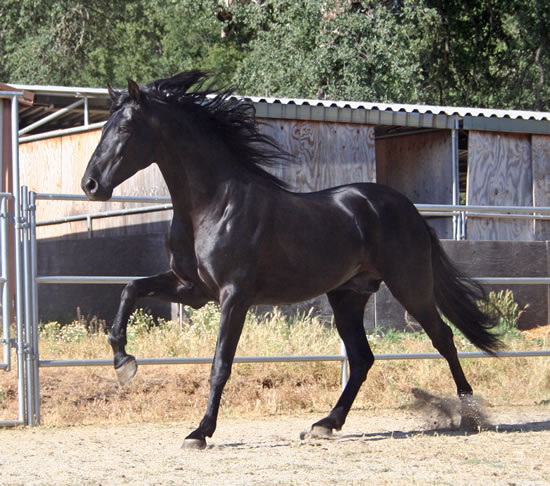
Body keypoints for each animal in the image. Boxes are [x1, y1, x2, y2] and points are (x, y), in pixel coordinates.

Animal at [83, 70, 504, 450]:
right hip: (348, 296)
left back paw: (469, 416)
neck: (214, 205)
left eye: (125, 128)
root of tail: (409, 210)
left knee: (444, 339)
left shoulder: (234, 297)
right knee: (362, 359)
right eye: (104, 127)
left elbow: (220, 365)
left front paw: (200, 432)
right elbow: (130, 289)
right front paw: (123, 363)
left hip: (409, 286)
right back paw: (325, 425)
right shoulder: (193, 289)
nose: (90, 185)